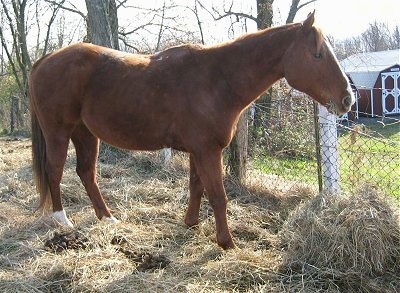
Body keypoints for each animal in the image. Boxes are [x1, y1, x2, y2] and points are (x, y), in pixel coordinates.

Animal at [28, 12, 354, 249]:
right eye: (317, 55)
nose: (347, 99)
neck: (218, 79)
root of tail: (43, 61)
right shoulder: (208, 152)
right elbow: (218, 196)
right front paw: (227, 243)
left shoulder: (199, 151)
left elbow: (197, 187)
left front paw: (192, 224)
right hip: (59, 133)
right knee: (55, 171)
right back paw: (62, 221)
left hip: (85, 134)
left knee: (86, 173)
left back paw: (108, 218)